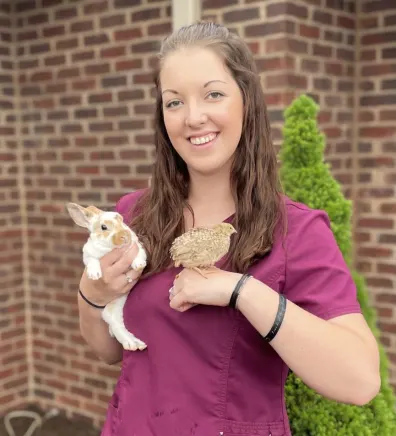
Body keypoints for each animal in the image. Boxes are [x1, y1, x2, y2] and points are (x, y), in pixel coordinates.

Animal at [65, 204, 148, 350]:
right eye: (104, 227)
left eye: (121, 220)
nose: (125, 236)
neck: (109, 249)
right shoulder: (88, 255)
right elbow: (92, 261)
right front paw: (94, 274)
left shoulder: (137, 246)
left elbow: (140, 254)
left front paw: (139, 265)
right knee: (110, 319)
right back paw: (131, 343)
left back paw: (134, 343)